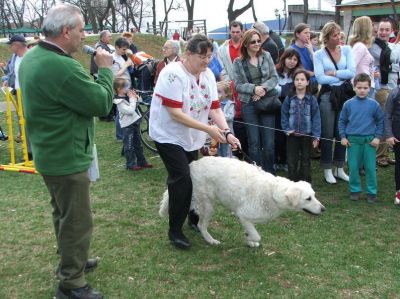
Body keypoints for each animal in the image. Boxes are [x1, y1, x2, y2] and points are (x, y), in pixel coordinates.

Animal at [159, 157, 324, 248]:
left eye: (314, 196)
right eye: (308, 199)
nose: (324, 209)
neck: (273, 192)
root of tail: (192, 165)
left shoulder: (248, 219)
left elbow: (251, 231)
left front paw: (248, 240)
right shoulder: (243, 215)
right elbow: (257, 235)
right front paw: (249, 239)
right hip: (208, 205)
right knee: (201, 225)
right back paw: (211, 240)